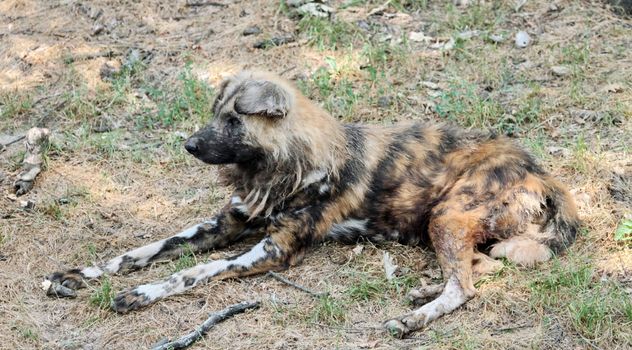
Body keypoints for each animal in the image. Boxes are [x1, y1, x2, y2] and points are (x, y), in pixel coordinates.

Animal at [47, 70, 580, 336]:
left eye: (234, 121)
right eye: (213, 115)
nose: (189, 145)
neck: (283, 169)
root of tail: (541, 172)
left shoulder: (273, 250)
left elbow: (192, 272)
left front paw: (142, 293)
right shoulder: (227, 224)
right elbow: (141, 251)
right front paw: (79, 275)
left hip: (447, 217)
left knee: (465, 288)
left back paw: (410, 320)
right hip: (447, 227)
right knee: (476, 269)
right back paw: (423, 291)